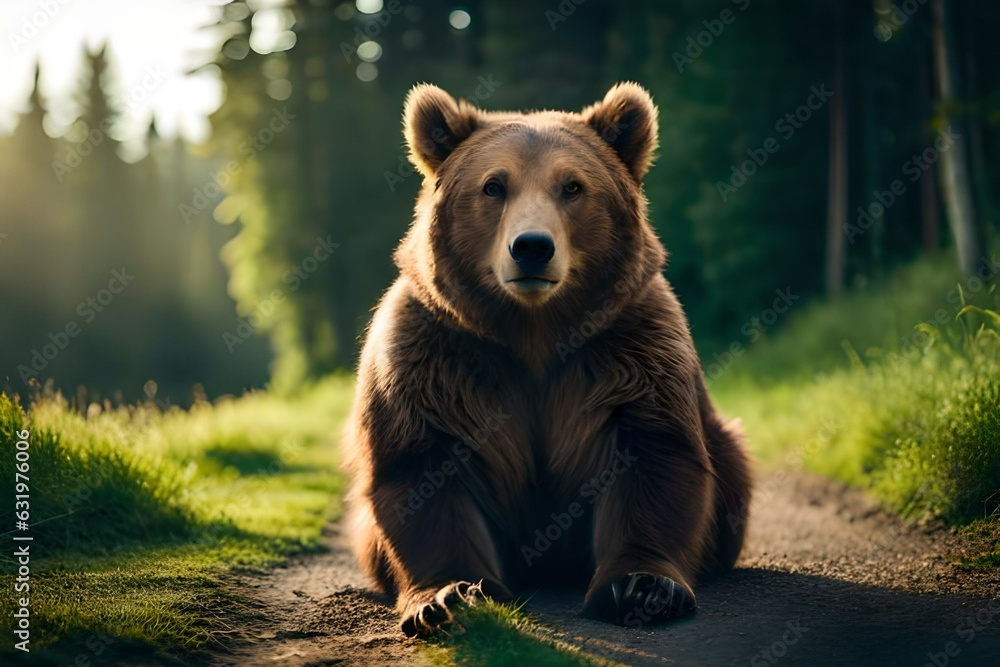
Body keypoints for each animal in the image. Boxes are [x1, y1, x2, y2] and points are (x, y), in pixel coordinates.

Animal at [342, 82, 752, 636]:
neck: (534, 333)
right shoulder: (432, 359)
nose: (532, 247)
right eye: (494, 186)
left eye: (573, 186)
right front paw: (448, 597)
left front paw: (643, 586)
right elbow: (420, 469)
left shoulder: (629, 348)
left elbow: (653, 453)